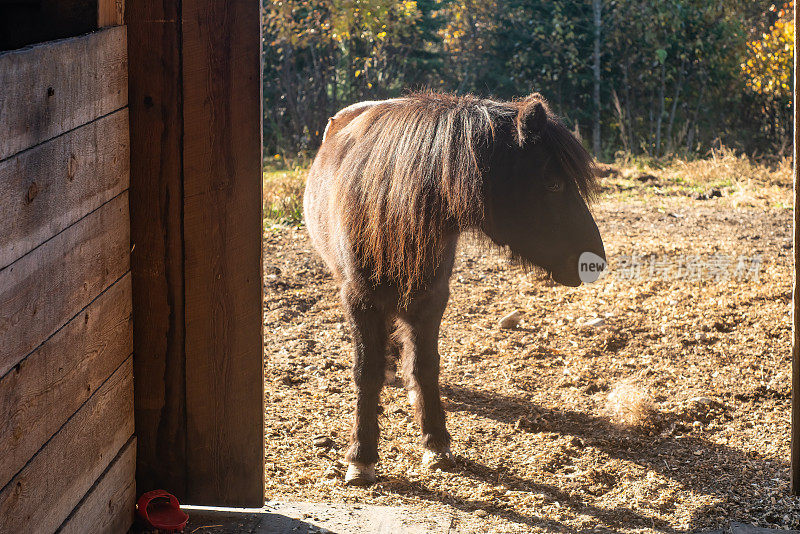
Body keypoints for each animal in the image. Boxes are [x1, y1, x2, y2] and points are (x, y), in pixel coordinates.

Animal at [304, 91, 604, 486]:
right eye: (553, 184)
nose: (595, 262)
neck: (390, 204)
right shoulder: (359, 299)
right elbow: (366, 371)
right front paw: (362, 456)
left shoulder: (432, 297)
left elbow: (425, 365)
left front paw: (435, 441)